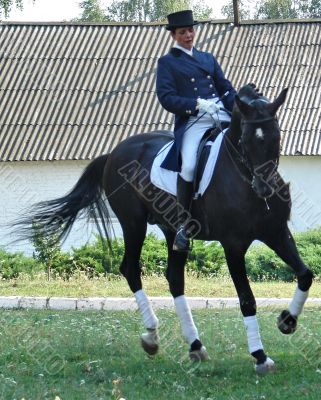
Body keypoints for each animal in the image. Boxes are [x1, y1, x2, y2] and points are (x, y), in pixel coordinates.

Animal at [16, 84, 310, 376]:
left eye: (276, 136)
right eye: (247, 140)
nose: (265, 189)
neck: (243, 179)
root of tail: (113, 153)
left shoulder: (276, 233)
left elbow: (305, 275)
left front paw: (287, 321)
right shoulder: (233, 245)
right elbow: (247, 299)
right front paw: (260, 357)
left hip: (171, 230)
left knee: (175, 278)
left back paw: (195, 345)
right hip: (132, 223)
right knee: (131, 269)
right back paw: (152, 336)